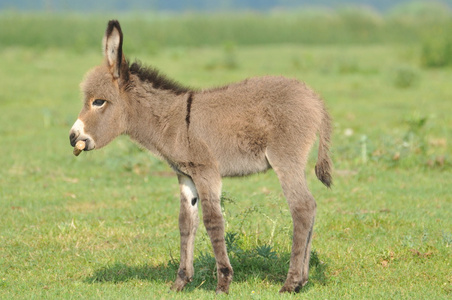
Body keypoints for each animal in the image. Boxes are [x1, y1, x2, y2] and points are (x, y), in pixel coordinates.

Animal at [69, 19, 332, 294]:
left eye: (99, 102)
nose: (72, 137)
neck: (174, 122)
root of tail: (315, 100)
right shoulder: (186, 175)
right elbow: (186, 223)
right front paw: (180, 282)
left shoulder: (206, 171)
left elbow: (213, 220)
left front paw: (223, 282)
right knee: (310, 207)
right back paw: (302, 279)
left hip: (286, 159)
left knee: (302, 207)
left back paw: (291, 283)